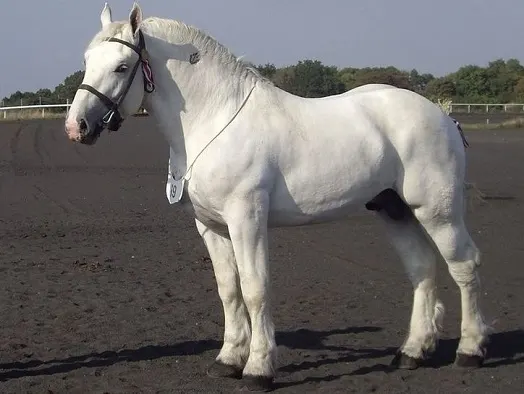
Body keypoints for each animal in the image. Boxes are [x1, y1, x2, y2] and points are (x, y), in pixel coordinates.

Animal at [65, 3, 492, 390]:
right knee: (422, 270)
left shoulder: (246, 219)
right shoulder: (211, 227)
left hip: (438, 212)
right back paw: (412, 352)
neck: (213, 119)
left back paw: (470, 351)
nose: (76, 126)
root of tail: (443, 116)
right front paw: (228, 360)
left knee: (465, 266)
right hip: (395, 211)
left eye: (122, 67)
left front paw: (258, 368)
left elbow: (255, 289)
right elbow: (229, 290)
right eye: (87, 61)